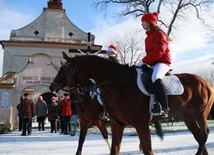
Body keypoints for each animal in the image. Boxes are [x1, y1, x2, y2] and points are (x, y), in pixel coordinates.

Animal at [50, 52, 214, 155]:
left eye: (65, 71)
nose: (52, 87)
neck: (118, 83)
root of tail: (206, 83)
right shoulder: (115, 124)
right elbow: (103, 147)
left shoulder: (140, 124)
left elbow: (147, 150)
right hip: (188, 116)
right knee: (199, 137)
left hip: (200, 114)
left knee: (204, 134)